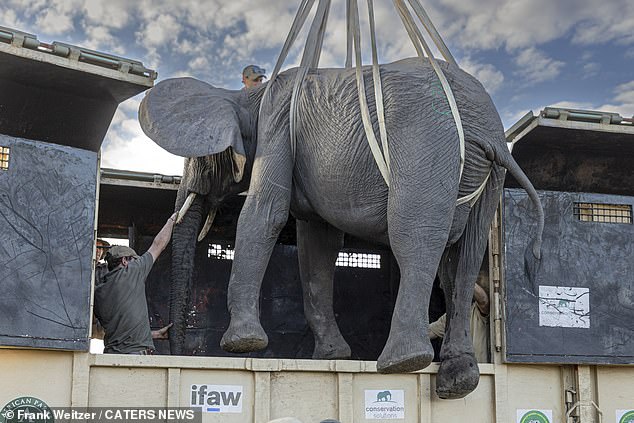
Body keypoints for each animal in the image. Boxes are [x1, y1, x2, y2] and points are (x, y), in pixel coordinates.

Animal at [139, 57, 544, 400]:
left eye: (201, 158)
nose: (176, 353)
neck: (243, 97)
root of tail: (488, 130)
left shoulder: (276, 129)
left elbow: (263, 213)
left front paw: (243, 345)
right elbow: (317, 243)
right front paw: (331, 355)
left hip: (425, 147)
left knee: (414, 237)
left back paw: (401, 362)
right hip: (486, 176)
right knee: (463, 258)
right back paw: (458, 380)